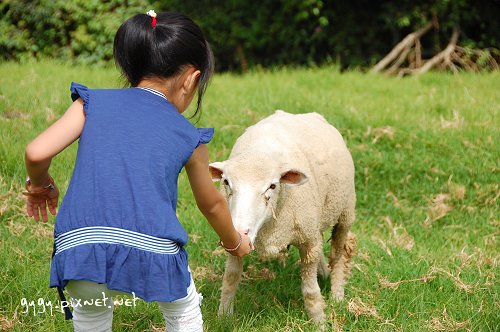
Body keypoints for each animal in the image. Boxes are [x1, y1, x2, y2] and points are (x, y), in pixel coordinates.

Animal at [209, 110, 358, 326]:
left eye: (272, 185)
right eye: (226, 182)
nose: (241, 232)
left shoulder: (309, 241)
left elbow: (310, 290)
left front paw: (319, 322)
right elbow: (230, 278)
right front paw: (224, 316)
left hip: (345, 210)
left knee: (339, 252)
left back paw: (337, 294)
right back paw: (323, 272)